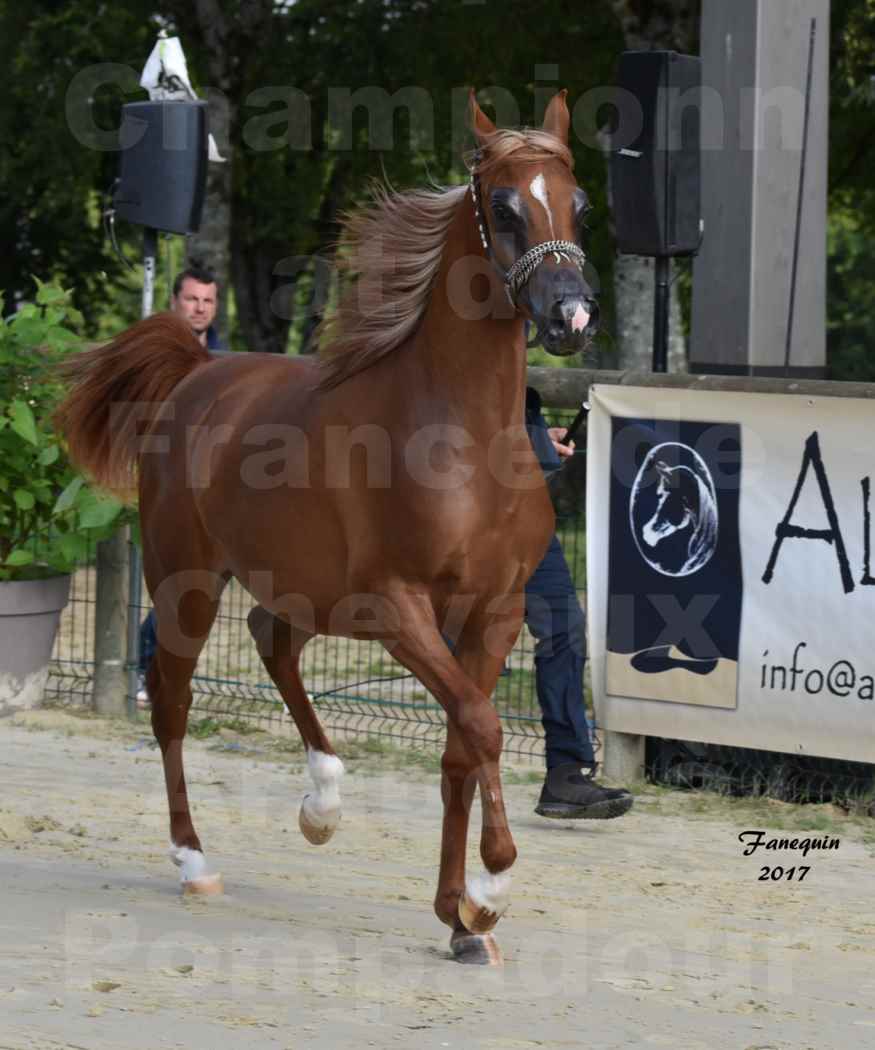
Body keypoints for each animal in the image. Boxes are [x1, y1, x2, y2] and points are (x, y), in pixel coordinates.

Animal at [58, 92, 596, 965]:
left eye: (578, 203)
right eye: (504, 205)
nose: (570, 313)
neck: (462, 439)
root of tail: (197, 374)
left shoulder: (494, 613)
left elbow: (459, 744)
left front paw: (457, 918)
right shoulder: (397, 607)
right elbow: (481, 727)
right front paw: (489, 891)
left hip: (302, 590)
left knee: (270, 641)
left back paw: (323, 801)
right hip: (186, 582)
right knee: (172, 701)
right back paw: (195, 860)